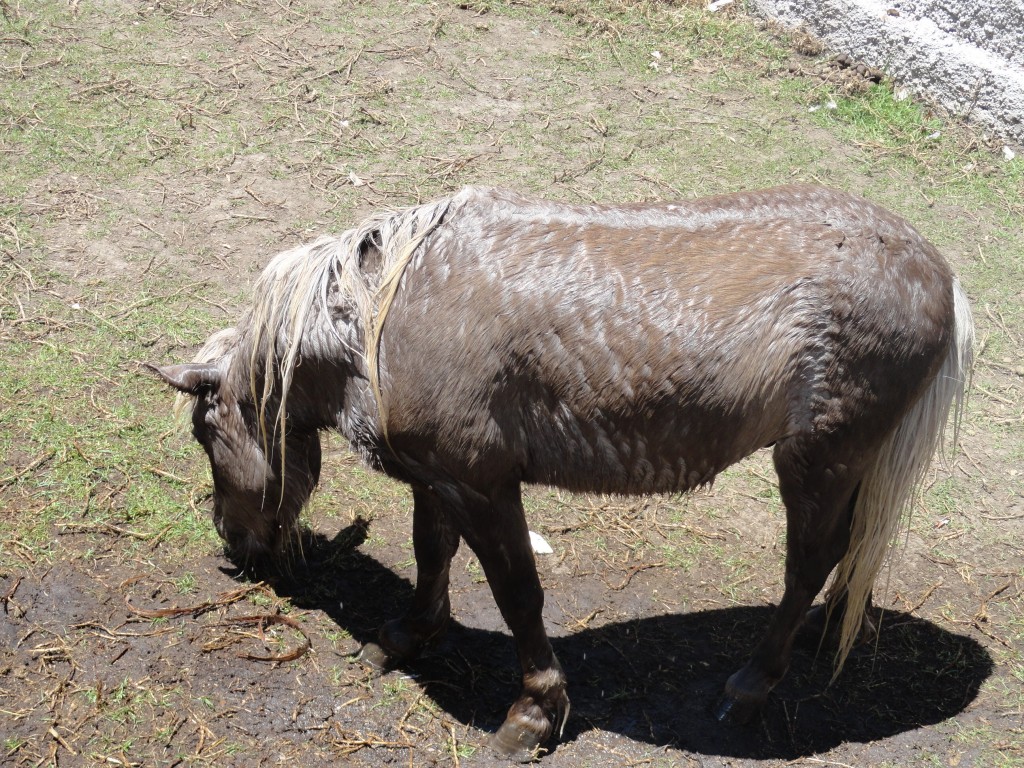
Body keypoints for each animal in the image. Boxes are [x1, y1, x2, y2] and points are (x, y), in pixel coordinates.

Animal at [151, 186, 974, 765]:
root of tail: (940, 275)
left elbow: (518, 596)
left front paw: (534, 714)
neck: (384, 321)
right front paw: (407, 636)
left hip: (816, 459)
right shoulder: (438, 479)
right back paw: (826, 629)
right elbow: (430, 555)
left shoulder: (484, 486)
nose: (233, 544)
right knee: (847, 552)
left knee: (809, 560)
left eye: (204, 433)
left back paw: (750, 686)